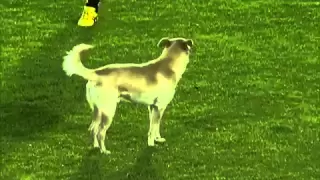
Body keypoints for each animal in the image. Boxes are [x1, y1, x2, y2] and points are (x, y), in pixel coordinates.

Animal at [62, 37, 192, 155]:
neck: (169, 63)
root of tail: (96, 72)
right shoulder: (159, 107)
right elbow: (153, 128)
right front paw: (151, 145)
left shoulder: (153, 108)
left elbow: (154, 127)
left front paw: (158, 139)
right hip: (109, 111)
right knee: (100, 132)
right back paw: (104, 151)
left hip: (97, 110)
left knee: (93, 128)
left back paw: (96, 147)